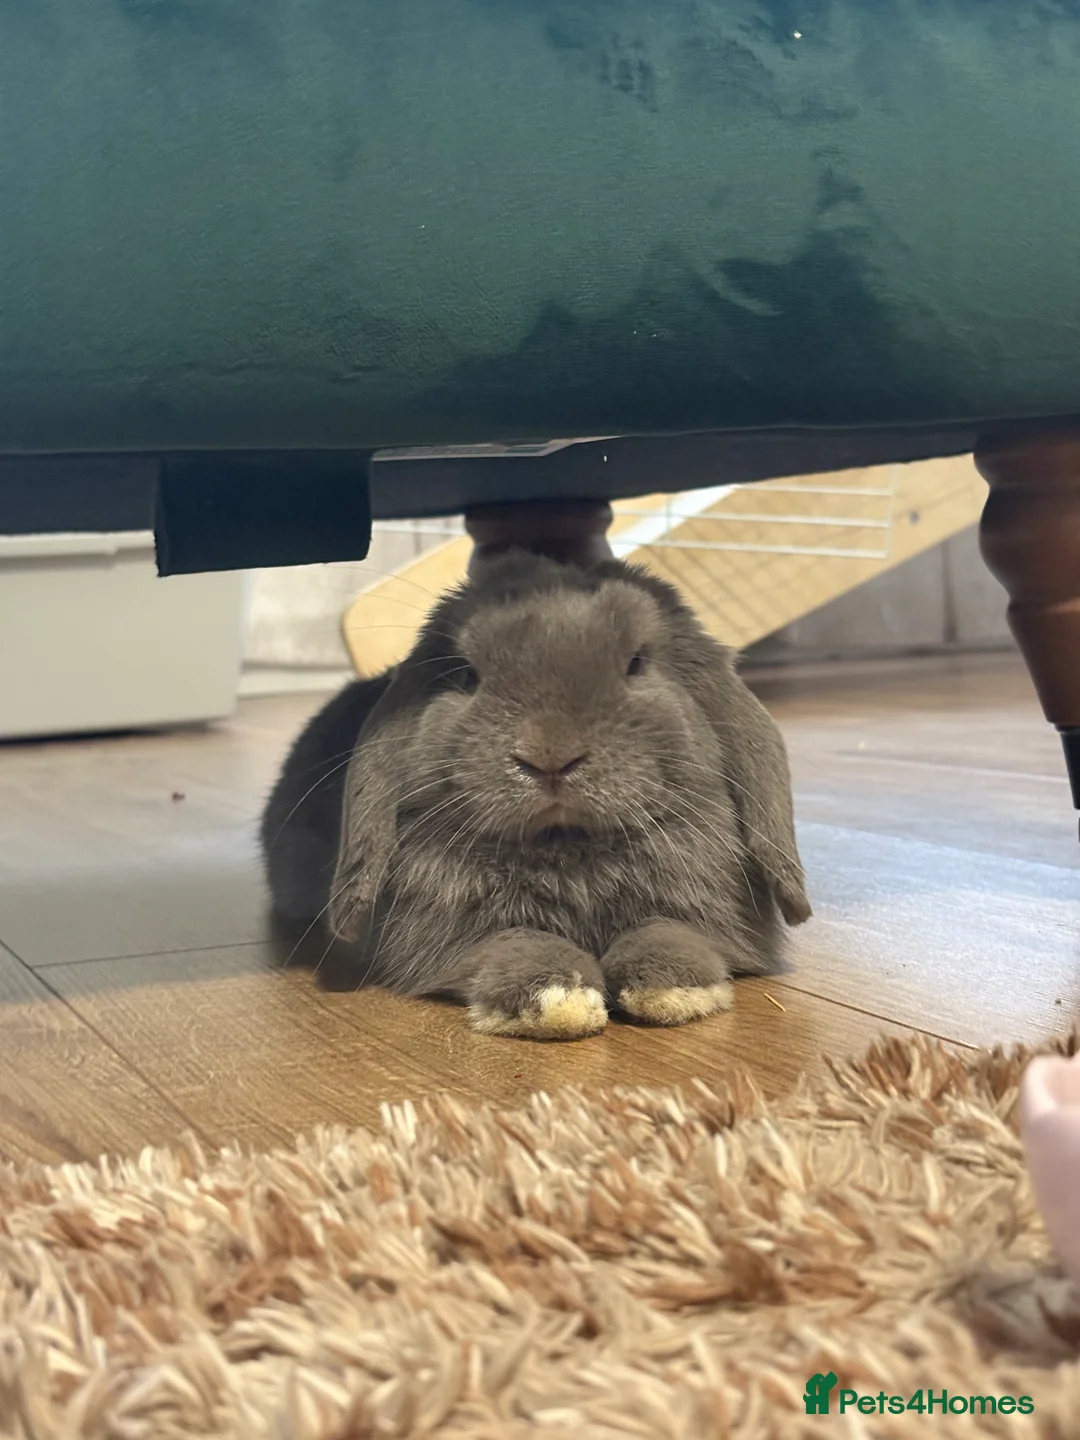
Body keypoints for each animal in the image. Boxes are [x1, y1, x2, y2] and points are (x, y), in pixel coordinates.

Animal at [261, 549, 811, 1040]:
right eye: (465, 674)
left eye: (636, 663)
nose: (549, 756)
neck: (567, 846)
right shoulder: (454, 937)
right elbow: (515, 944)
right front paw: (558, 1001)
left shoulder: (696, 908)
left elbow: (666, 931)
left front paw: (673, 988)